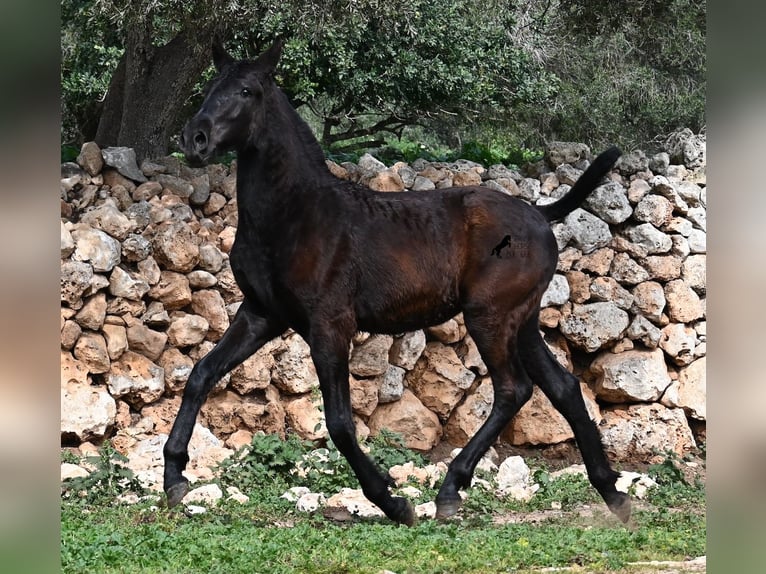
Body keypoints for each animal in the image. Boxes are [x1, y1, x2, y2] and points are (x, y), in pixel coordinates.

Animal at [164, 39, 632, 528]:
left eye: (247, 90)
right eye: (210, 87)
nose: (194, 139)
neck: (296, 215)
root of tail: (540, 214)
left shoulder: (330, 324)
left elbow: (339, 422)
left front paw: (392, 500)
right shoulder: (261, 314)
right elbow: (200, 374)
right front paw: (175, 478)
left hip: (490, 316)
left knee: (513, 390)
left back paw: (450, 490)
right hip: (520, 322)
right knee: (563, 387)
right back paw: (612, 493)